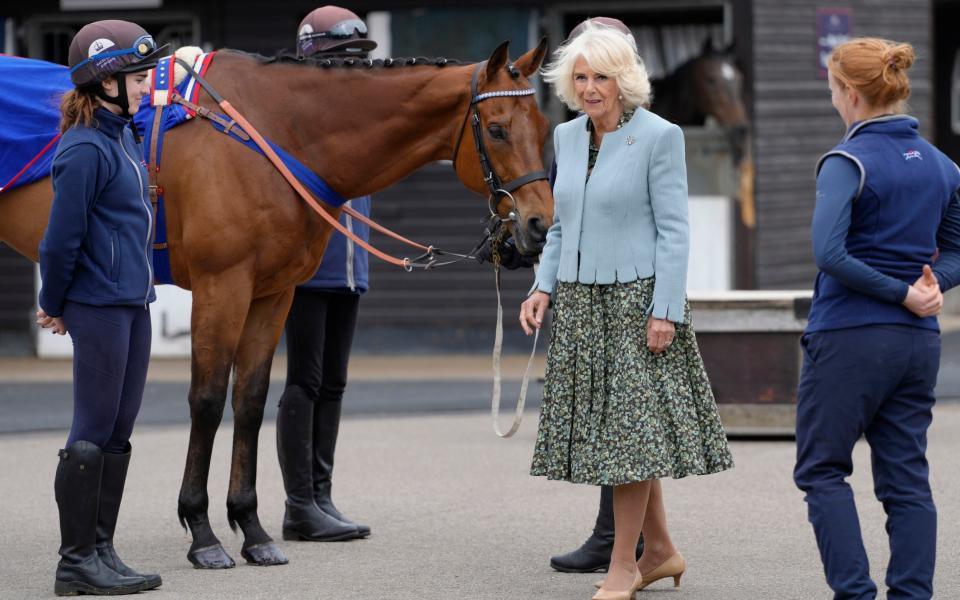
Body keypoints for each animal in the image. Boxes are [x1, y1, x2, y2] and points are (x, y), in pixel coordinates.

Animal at [0, 41, 552, 568]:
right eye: (497, 130)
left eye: (545, 127)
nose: (539, 226)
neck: (274, 133)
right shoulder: (222, 287)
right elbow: (207, 401)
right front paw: (202, 533)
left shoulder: (271, 295)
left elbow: (250, 400)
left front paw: (251, 528)